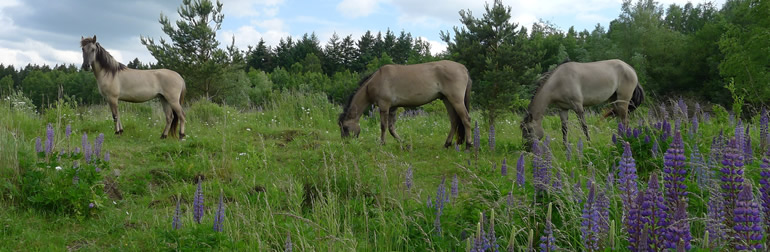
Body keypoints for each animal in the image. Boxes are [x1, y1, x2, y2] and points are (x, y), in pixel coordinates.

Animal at [338, 60, 472, 148]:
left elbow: (383, 126)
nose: (346, 143)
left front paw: (382, 143)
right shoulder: (393, 108)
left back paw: (469, 144)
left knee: (466, 119)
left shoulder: (384, 106)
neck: (376, 80)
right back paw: (447, 144)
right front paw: (402, 142)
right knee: (454, 121)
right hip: (447, 100)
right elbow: (391, 128)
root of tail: (463, 69)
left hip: (456, 100)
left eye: (345, 127)